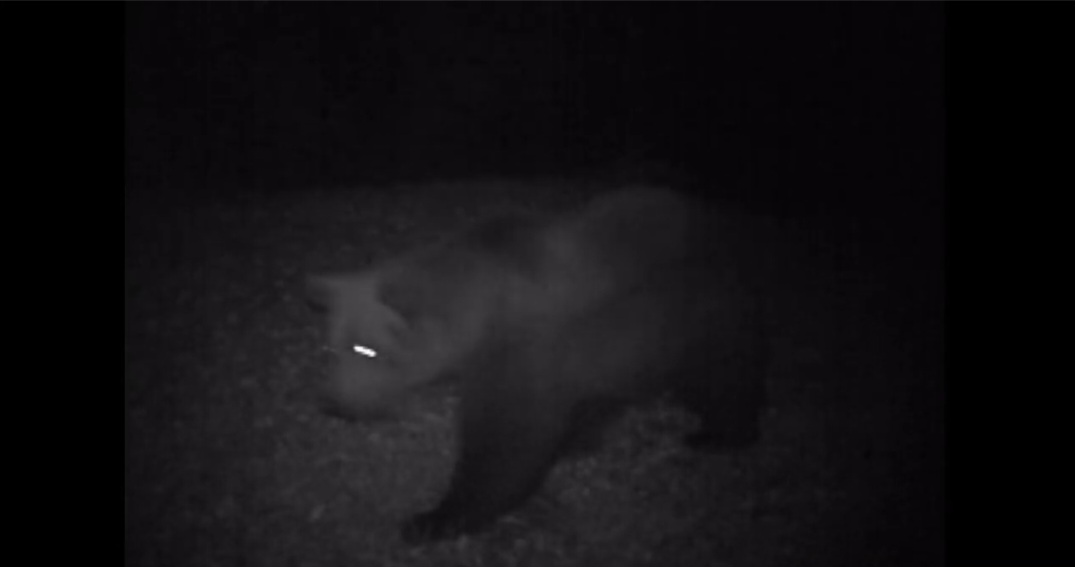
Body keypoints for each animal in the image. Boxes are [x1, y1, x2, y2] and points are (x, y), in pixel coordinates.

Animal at [306, 187, 769, 542]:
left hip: (694, 316)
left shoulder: (523, 348)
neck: (481, 313)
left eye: (367, 349)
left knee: (721, 377)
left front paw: (434, 518)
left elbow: (508, 442)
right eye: (329, 350)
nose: (334, 403)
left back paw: (718, 434)